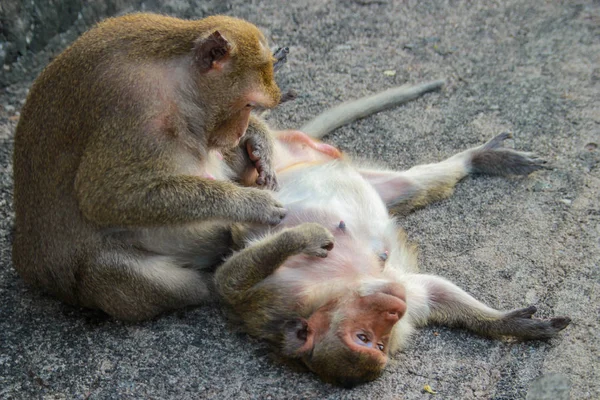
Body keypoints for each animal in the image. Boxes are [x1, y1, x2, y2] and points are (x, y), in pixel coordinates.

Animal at [11, 13, 288, 322]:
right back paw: (217, 282)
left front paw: (260, 145)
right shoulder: (134, 113)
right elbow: (105, 196)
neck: (175, 84)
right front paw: (253, 203)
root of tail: (27, 265)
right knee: (108, 266)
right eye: (249, 104)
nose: (239, 132)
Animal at [213, 131, 568, 388]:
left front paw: (509, 324)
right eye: (369, 340)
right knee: (411, 187)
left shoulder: (290, 294)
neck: (345, 287)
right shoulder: (280, 301)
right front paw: (304, 236)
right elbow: (227, 283)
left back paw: (478, 157)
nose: (396, 310)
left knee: (412, 184)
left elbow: (228, 283)